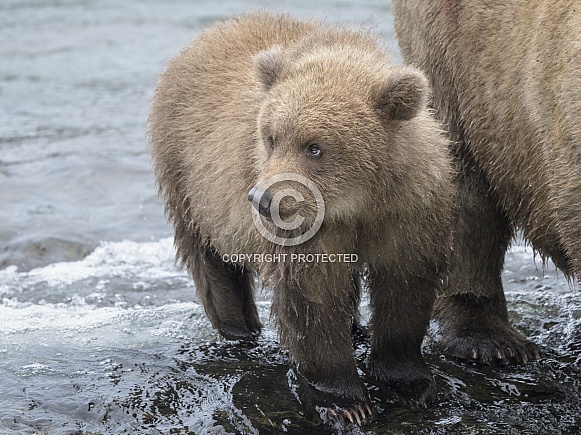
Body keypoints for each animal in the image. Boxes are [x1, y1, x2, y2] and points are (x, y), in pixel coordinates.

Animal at [148, 10, 454, 424]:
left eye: (315, 147)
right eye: (271, 137)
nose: (262, 199)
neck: (358, 202)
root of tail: (210, 33)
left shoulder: (409, 210)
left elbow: (405, 284)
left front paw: (408, 384)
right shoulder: (306, 230)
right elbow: (312, 299)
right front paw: (345, 400)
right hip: (186, 176)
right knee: (210, 259)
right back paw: (238, 328)